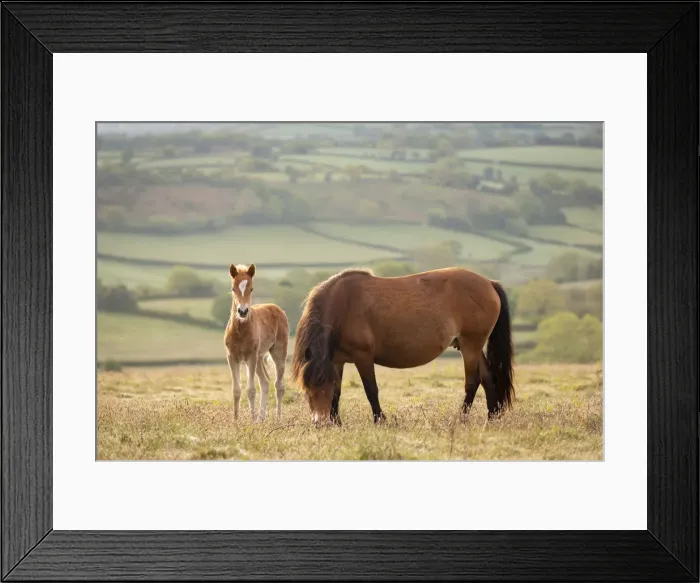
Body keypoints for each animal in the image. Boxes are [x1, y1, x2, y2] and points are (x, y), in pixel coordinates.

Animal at [224, 263, 289, 422]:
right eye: (233, 288)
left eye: (251, 288)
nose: (242, 311)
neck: (240, 332)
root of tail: (277, 308)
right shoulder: (232, 357)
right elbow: (236, 390)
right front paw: (236, 420)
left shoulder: (250, 357)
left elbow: (251, 390)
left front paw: (252, 421)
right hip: (259, 357)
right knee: (265, 381)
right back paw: (261, 417)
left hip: (278, 352)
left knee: (279, 385)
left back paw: (277, 418)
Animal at [291, 266, 514, 425]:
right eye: (307, 388)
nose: (320, 423)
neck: (343, 306)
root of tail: (489, 283)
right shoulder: (337, 360)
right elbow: (338, 392)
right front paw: (337, 422)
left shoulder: (363, 357)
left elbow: (370, 389)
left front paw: (380, 420)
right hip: (471, 347)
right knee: (488, 377)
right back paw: (492, 417)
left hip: (470, 346)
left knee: (473, 381)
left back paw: (462, 418)